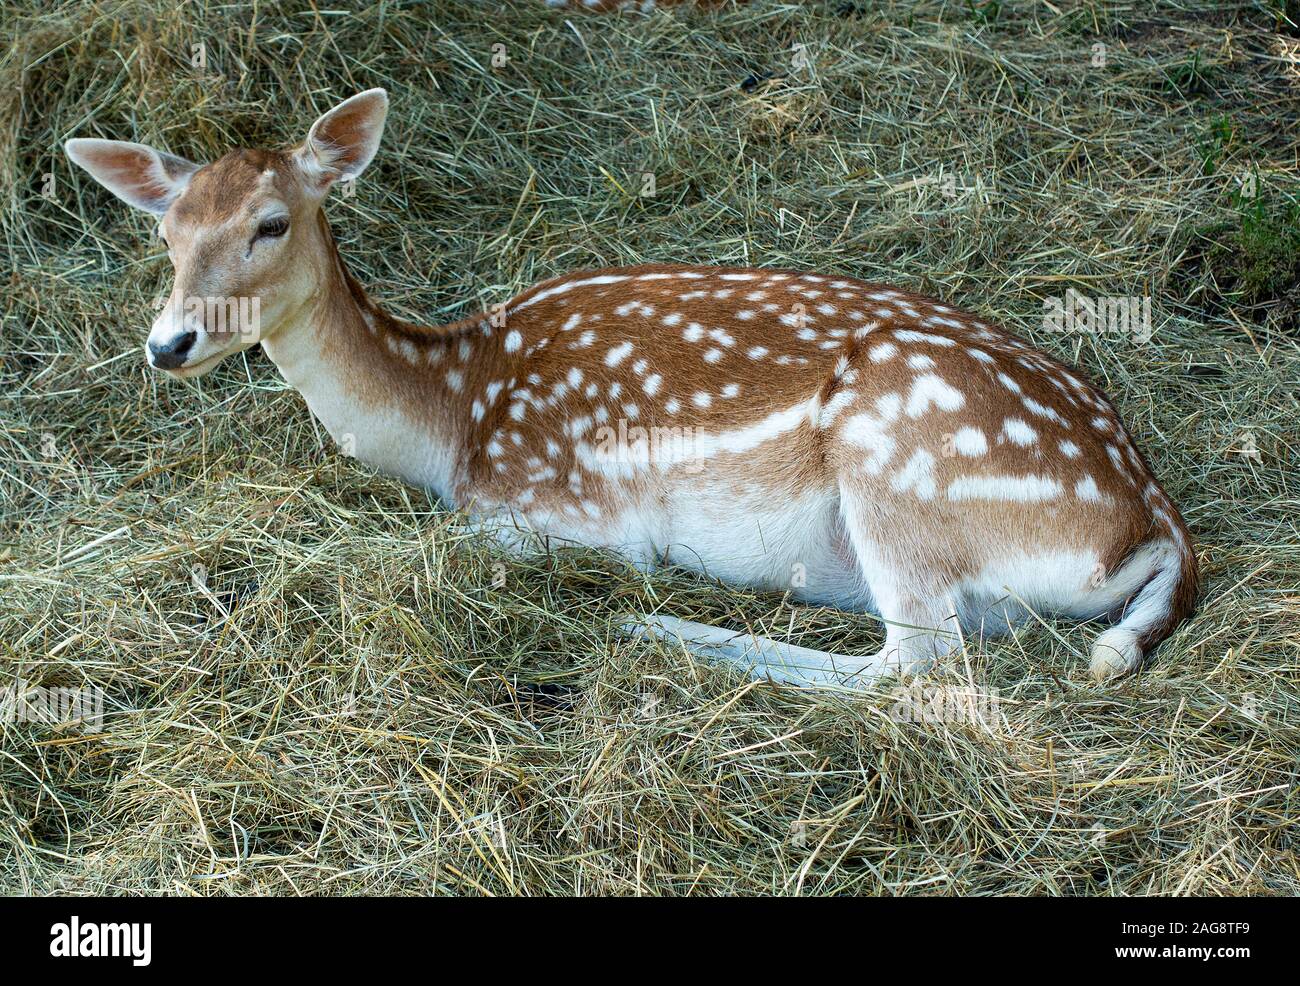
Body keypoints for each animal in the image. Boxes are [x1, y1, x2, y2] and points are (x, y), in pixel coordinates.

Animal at [64, 89, 1197, 687]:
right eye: (164, 231)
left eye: (272, 221)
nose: (166, 343)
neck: (454, 414)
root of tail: (1148, 523)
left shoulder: (563, 508)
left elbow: (452, 541)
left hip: (898, 467)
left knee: (913, 663)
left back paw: (661, 630)